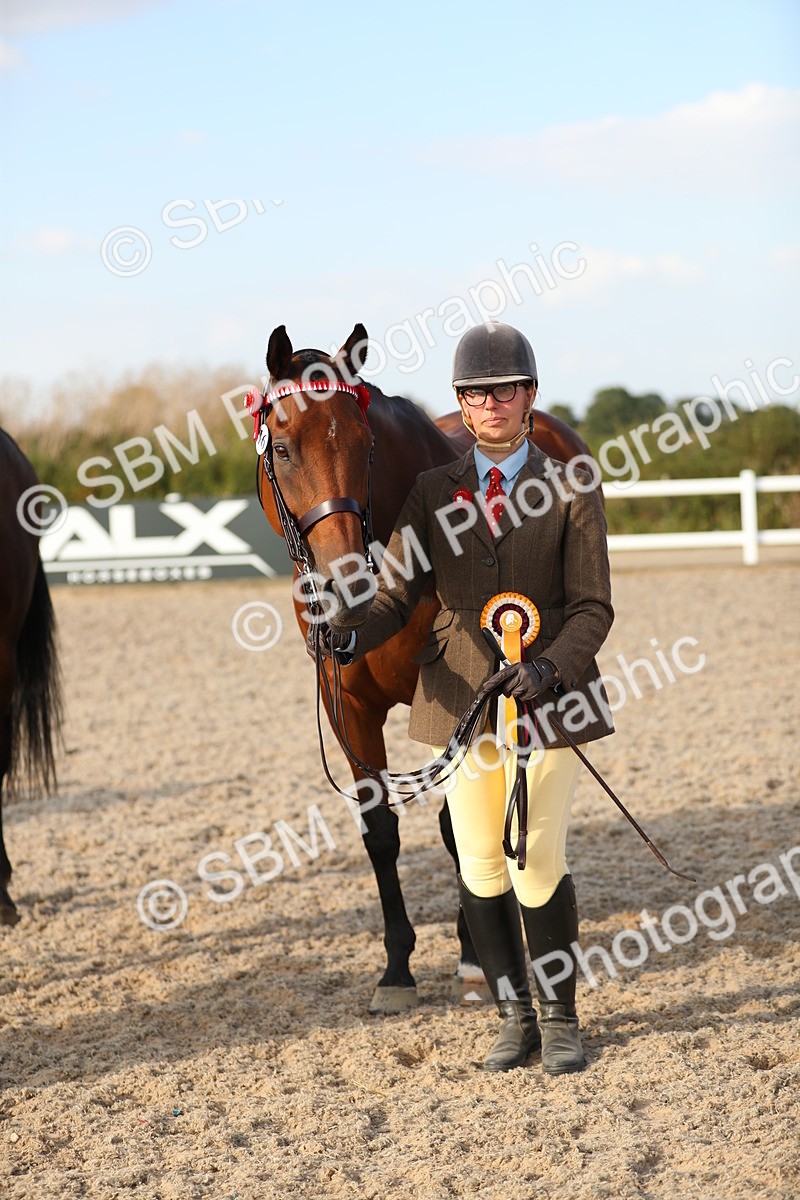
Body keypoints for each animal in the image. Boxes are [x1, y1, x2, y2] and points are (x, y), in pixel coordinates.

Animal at [256, 324, 595, 1012]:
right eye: (282, 447)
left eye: (366, 447)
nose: (346, 588)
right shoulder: (349, 708)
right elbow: (380, 832)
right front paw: (396, 971)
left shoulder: (458, 705)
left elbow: (456, 828)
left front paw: (473, 960)